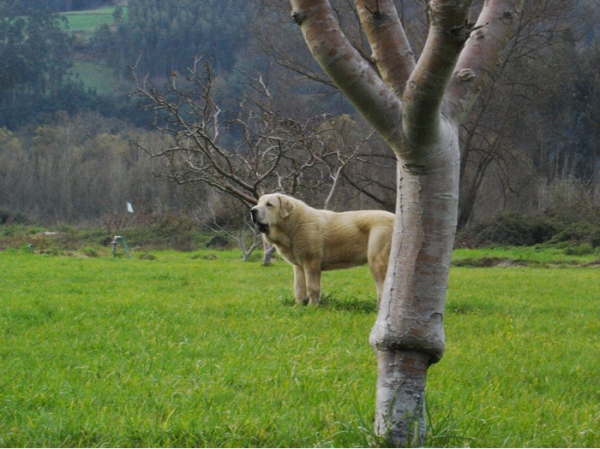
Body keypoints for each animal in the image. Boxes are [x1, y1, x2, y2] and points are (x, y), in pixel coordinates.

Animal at [252, 192, 396, 304]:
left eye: (269, 204)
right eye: (258, 203)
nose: (252, 210)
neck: (295, 224)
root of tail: (395, 217)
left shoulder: (311, 263)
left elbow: (312, 287)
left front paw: (312, 307)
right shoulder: (298, 266)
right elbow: (299, 288)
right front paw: (298, 306)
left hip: (377, 260)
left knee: (383, 287)